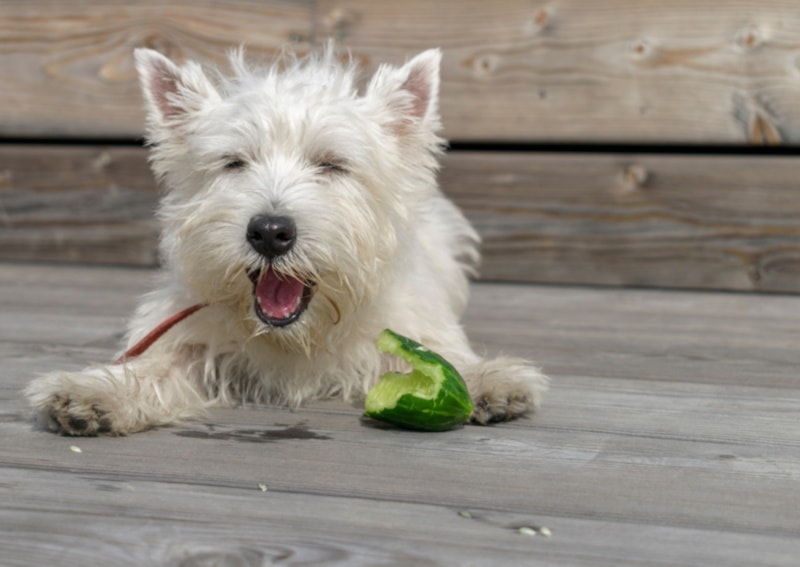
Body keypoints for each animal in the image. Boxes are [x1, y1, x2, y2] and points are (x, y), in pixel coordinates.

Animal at [26, 45, 552, 434]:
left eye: (332, 164)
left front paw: (488, 380)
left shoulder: (416, 325)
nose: (270, 232)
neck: (298, 339)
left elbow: (442, 356)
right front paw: (93, 394)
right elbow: (154, 368)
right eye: (234, 162)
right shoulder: (186, 336)